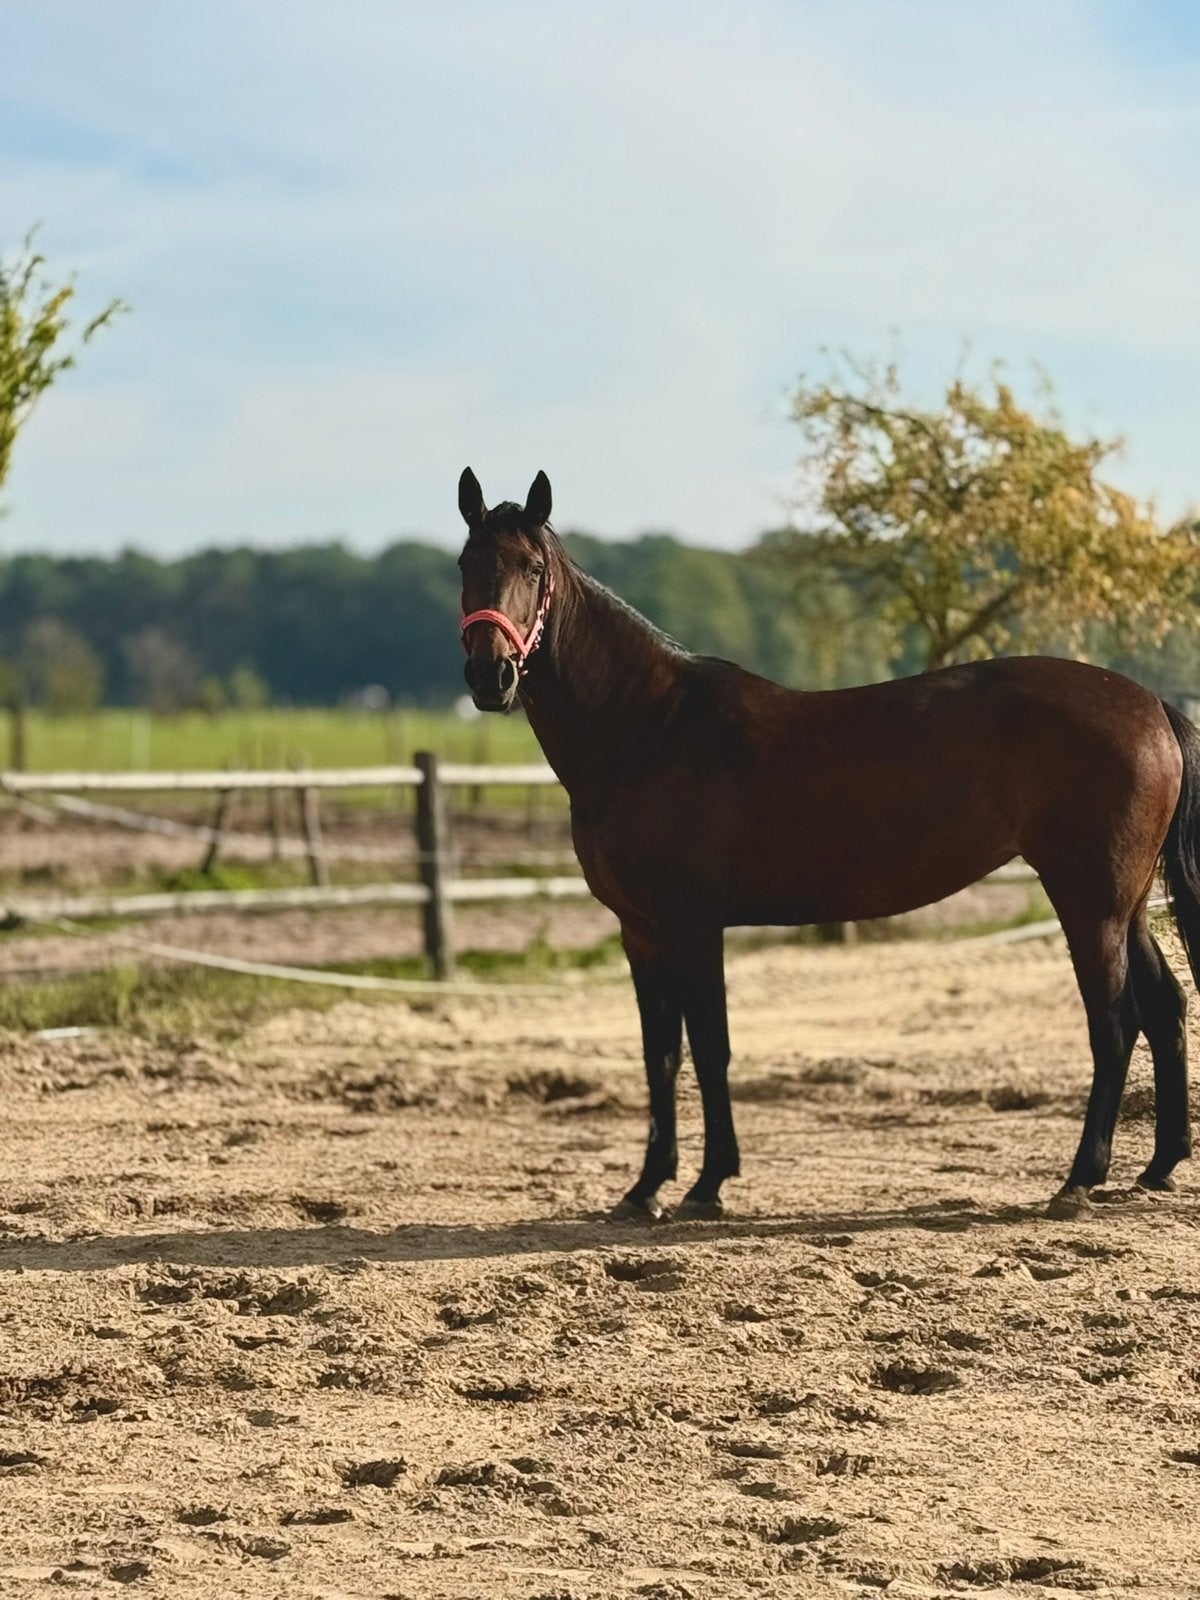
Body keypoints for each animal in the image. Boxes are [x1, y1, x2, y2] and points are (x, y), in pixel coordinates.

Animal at [456, 467, 1200, 1222]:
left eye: (533, 568)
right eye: (466, 564)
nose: (491, 676)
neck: (649, 726)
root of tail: (1150, 704)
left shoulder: (692, 924)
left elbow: (711, 1048)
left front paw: (707, 1184)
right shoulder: (640, 930)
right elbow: (660, 1055)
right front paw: (645, 1188)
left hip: (1090, 903)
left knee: (1115, 1022)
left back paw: (1080, 1178)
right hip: (1128, 906)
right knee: (1166, 1007)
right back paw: (1159, 1167)